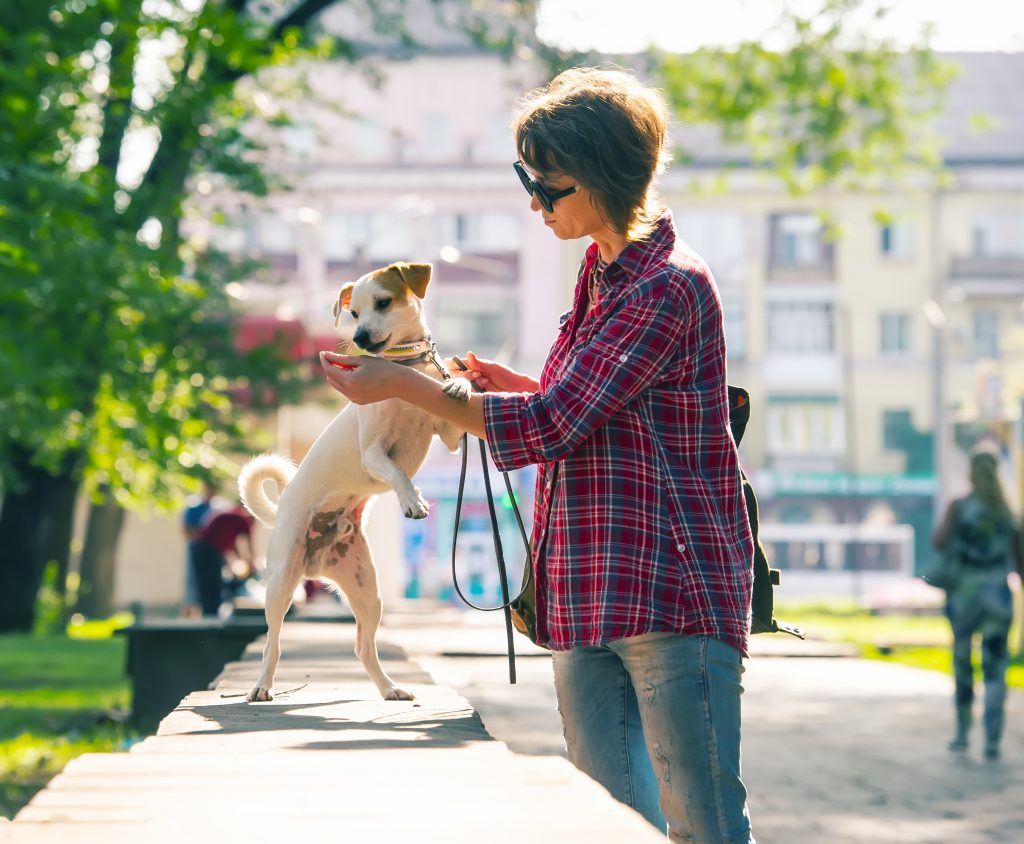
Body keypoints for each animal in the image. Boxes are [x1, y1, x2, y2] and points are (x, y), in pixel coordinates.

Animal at [235, 264, 468, 704]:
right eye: (354, 314)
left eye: (384, 302)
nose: (358, 339)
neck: (407, 371)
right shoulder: (374, 454)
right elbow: (397, 473)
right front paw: (412, 500)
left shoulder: (449, 436)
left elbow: (455, 406)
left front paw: (461, 382)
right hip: (280, 585)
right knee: (274, 643)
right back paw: (261, 686)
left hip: (366, 589)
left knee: (363, 646)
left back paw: (390, 688)